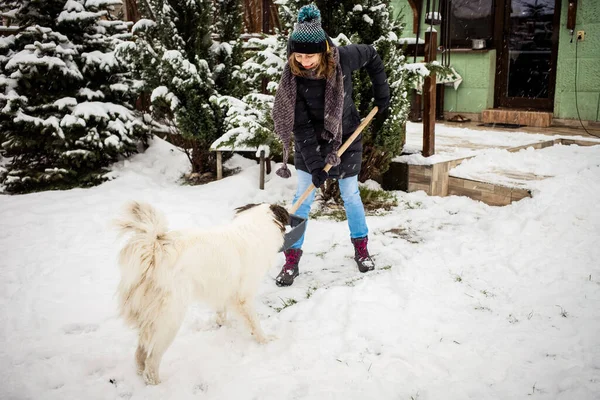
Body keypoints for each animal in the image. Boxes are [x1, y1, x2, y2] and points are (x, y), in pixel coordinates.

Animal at [115, 202, 290, 386]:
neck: (253, 227)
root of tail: (155, 250)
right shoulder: (244, 297)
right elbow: (255, 324)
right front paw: (265, 340)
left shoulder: (224, 289)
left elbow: (221, 310)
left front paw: (222, 323)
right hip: (169, 320)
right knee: (151, 360)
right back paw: (157, 384)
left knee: (140, 352)